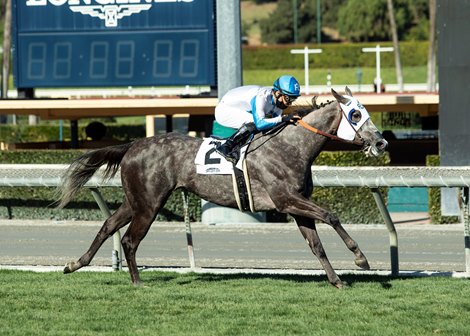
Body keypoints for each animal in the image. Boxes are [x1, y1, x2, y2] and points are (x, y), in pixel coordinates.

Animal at [57, 88, 390, 288]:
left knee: (108, 225)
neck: (292, 146)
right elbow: (332, 215)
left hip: (137, 201)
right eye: (355, 114)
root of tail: (132, 145)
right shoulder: (286, 200)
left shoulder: (296, 206)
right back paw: (137, 282)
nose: (381, 142)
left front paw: (336, 280)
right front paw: (360, 259)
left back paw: (75, 264)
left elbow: (316, 245)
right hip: (149, 205)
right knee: (128, 240)